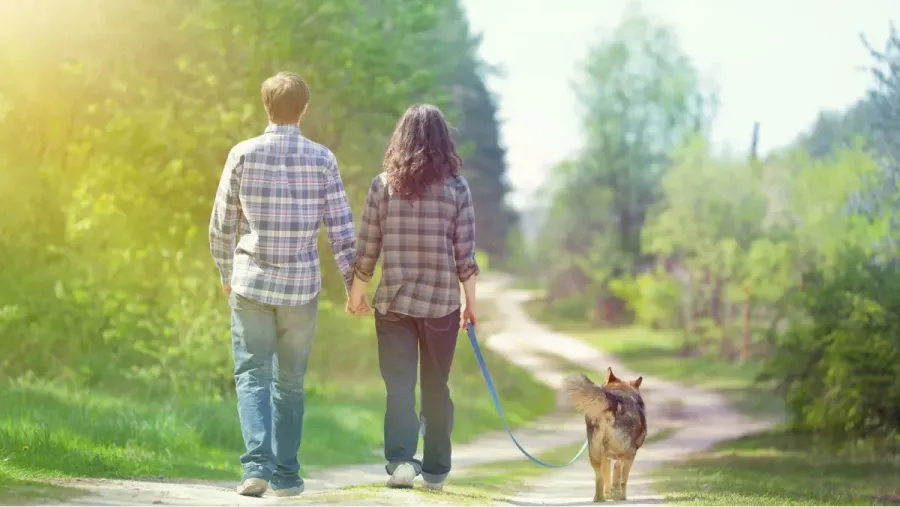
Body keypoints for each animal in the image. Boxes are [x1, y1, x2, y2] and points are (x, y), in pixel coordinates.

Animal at [568, 368, 644, 502]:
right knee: (618, 466)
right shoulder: (628, 455)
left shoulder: (605, 456)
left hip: (594, 452)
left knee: (599, 476)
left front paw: (607, 493)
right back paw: (617, 493)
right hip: (627, 450)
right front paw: (620, 495)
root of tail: (612, 402)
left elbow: (606, 475)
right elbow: (623, 478)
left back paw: (600, 498)